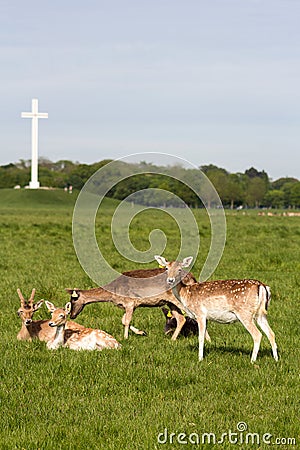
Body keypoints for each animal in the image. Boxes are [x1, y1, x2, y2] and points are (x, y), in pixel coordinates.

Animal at [66, 266, 211, 340]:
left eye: (73, 300)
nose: (72, 315)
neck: (113, 293)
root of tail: (193, 278)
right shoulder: (128, 305)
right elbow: (123, 320)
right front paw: (142, 332)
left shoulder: (130, 302)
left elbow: (126, 321)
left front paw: (125, 338)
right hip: (170, 302)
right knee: (181, 318)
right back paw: (173, 339)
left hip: (180, 299)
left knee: (195, 316)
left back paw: (207, 339)